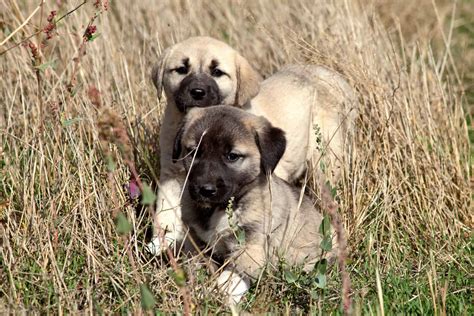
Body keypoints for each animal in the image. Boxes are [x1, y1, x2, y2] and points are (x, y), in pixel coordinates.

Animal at [148, 36, 356, 254]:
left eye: (217, 72)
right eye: (181, 69)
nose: (197, 92)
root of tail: (335, 77)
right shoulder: (172, 176)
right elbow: (165, 212)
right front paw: (161, 244)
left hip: (326, 162)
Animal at [175, 105, 336, 304]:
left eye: (232, 156)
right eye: (193, 152)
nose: (205, 190)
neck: (218, 210)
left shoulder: (251, 247)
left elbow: (229, 279)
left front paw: (217, 298)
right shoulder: (195, 242)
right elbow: (197, 267)